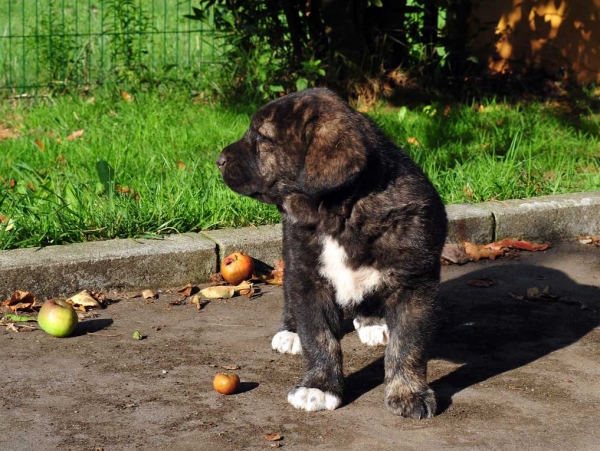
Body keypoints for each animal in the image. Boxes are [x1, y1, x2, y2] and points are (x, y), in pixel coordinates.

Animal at [216, 88, 446, 420]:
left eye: (262, 137)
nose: (218, 160)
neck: (341, 210)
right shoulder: (308, 278)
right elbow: (318, 337)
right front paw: (319, 387)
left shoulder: (415, 283)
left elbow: (408, 343)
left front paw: (408, 393)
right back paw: (290, 332)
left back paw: (372, 322)